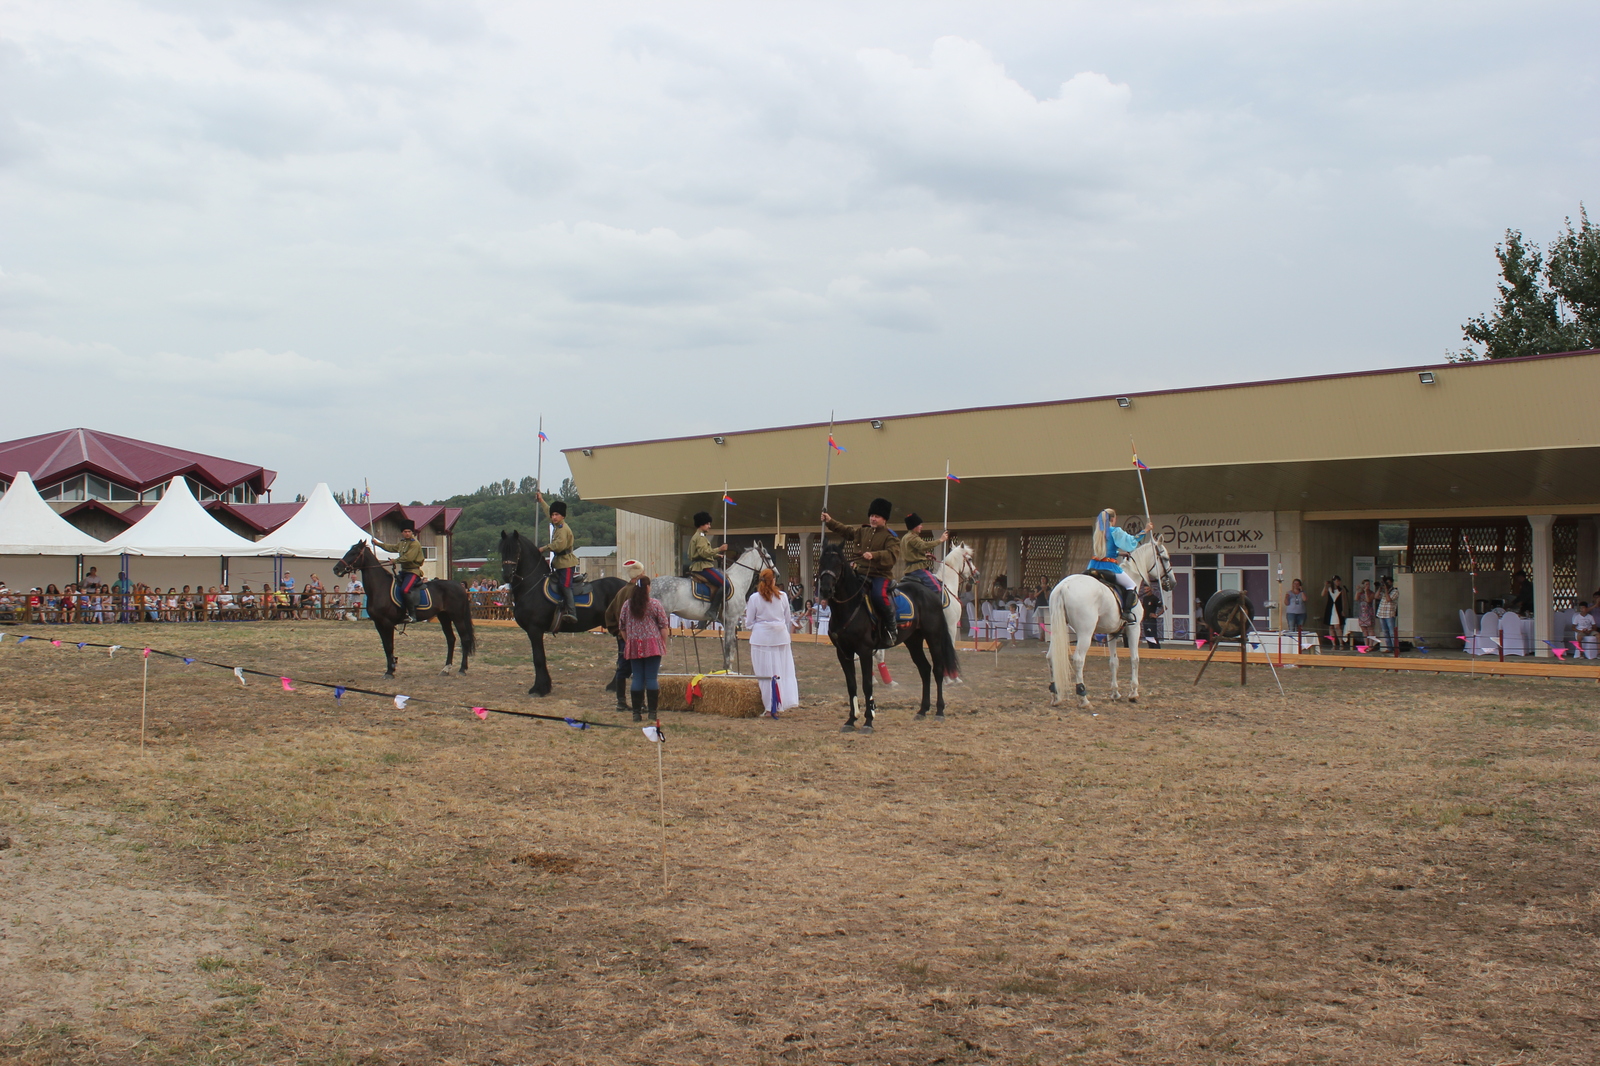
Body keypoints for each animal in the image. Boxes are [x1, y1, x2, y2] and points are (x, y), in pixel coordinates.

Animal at [328, 534, 470, 675]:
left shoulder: (387, 623)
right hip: (444, 617)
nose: (336, 569)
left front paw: (390, 671)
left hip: (457, 617)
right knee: (451, 639)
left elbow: (390, 646)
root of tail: (459, 586)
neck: (380, 587)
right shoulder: (378, 623)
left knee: (464, 638)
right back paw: (446, 668)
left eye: (354, 552)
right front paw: (391, 668)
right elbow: (386, 647)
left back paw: (462, 669)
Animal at [496, 528, 627, 694]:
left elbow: (539, 658)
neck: (533, 587)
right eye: (503, 550)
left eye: (517, 550)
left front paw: (540, 688)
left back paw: (615, 686)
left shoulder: (534, 630)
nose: (507, 575)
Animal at [819, 541, 953, 729]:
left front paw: (868, 721)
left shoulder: (865, 650)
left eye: (838, 564)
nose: (825, 590)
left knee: (938, 670)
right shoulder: (843, 652)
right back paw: (922, 710)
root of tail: (930, 593)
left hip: (933, 637)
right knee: (924, 669)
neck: (849, 607)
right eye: (821, 562)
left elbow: (867, 684)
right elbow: (851, 685)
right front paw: (851, 720)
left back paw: (939, 711)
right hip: (913, 641)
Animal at [1049, 541, 1177, 704]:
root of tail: (1064, 586)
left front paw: (1115, 693)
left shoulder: (1113, 632)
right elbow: (1135, 659)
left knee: (1051, 656)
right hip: (1085, 633)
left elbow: (1113, 662)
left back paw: (1055, 695)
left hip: (1057, 630)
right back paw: (1083, 697)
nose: (1172, 582)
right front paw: (1133, 693)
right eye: (1165, 558)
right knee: (1078, 660)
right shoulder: (1133, 629)